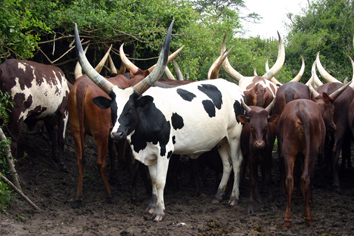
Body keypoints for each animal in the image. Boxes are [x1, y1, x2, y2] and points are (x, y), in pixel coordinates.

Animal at [75, 21, 246, 222]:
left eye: (131, 109)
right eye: (113, 109)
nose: (116, 134)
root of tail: (237, 90)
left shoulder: (165, 151)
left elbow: (160, 181)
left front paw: (159, 211)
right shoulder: (149, 154)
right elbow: (153, 179)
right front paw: (151, 206)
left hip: (234, 135)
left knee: (237, 162)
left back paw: (234, 197)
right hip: (221, 140)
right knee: (227, 164)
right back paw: (219, 195)